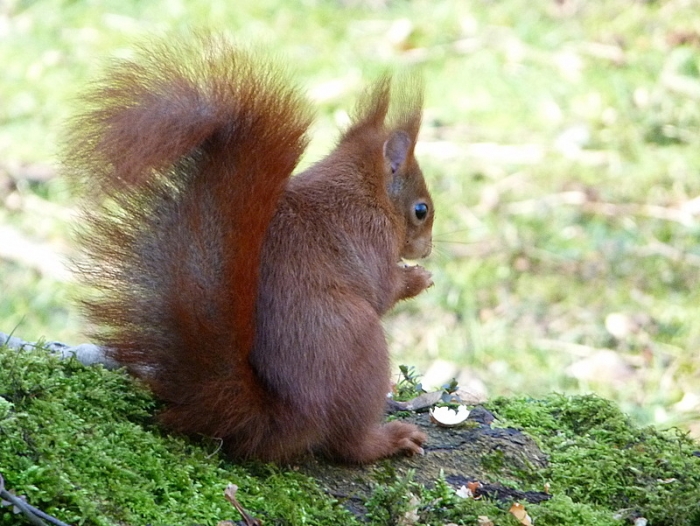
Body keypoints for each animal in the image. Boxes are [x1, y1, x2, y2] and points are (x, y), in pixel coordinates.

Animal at [65, 36, 434, 464]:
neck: (364, 188)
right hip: (363, 347)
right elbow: (383, 290)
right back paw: (389, 439)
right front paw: (417, 279)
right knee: (348, 444)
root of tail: (288, 417)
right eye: (421, 210)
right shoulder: (370, 236)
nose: (427, 250)